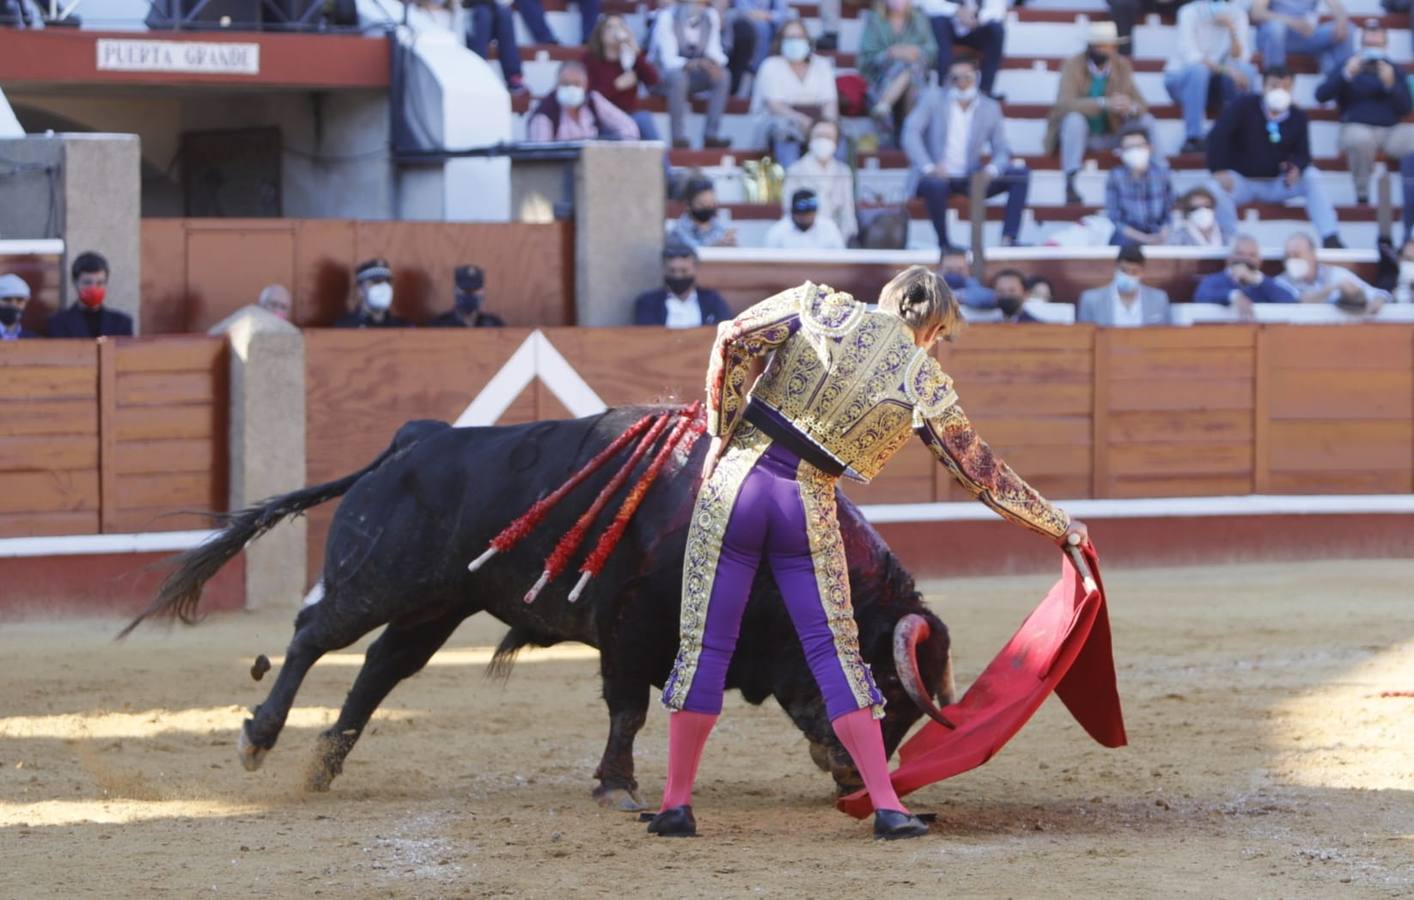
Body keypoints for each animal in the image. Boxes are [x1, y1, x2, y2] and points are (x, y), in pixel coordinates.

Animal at [127, 404, 955, 809]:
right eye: (886, 689)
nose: (858, 779)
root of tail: (417, 438)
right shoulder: (629, 631)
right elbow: (628, 709)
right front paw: (616, 785)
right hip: (381, 578)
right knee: (311, 636)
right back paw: (260, 738)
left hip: (438, 604)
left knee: (380, 669)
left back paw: (323, 765)